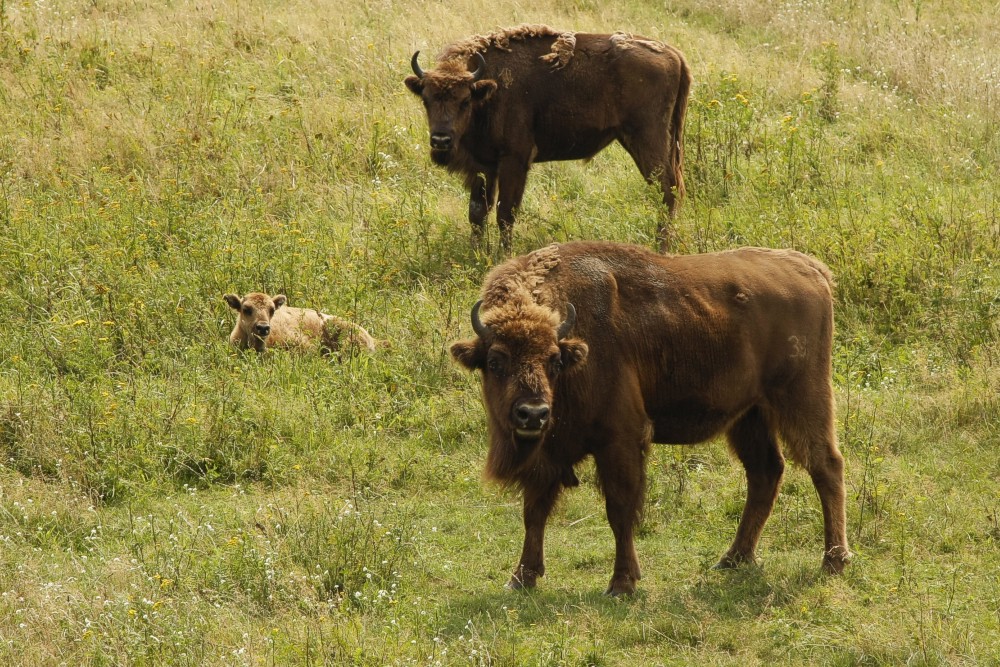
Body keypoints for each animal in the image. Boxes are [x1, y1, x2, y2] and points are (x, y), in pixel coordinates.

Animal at [404, 24, 688, 252]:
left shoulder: (514, 161)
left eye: (464, 101)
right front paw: (476, 254)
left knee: (667, 191)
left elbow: (505, 212)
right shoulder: (483, 167)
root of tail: (674, 54)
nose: (441, 140)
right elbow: (477, 213)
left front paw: (502, 255)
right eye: (426, 100)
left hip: (647, 140)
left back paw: (662, 249)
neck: (487, 89)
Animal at [454, 240, 852, 596]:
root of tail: (809, 268)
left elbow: (620, 510)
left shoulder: (621, 440)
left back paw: (833, 561)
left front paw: (621, 584)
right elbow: (534, 511)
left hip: (802, 397)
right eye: (495, 361)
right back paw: (733, 559)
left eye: (554, 360)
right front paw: (521, 578)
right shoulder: (546, 456)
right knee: (765, 473)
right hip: (750, 416)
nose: (532, 414)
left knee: (825, 464)